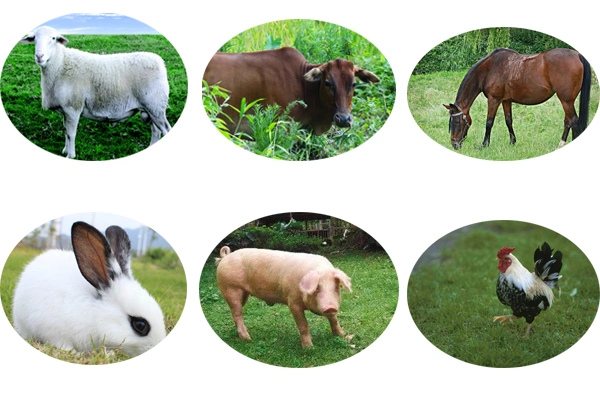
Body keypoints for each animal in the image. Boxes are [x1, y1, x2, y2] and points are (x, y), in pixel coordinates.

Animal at [12, 222, 166, 356]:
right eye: (140, 325)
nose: (157, 343)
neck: (96, 314)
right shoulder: (54, 332)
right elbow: (63, 346)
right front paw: (77, 354)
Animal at [20, 24, 171, 159]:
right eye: (34, 38)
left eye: (53, 38)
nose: (39, 56)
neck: (60, 65)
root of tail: (161, 62)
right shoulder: (65, 110)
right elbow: (65, 131)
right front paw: (65, 150)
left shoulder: (73, 107)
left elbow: (71, 134)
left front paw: (70, 155)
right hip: (152, 109)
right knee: (156, 131)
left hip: (155, 105)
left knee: (164, 130)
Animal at [214, 244, 352, 346]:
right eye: (317, 288)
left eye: (337, 287)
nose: (330, 307)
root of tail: (226, 257)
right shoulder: (293, 302)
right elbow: (303, 325)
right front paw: (309, 347)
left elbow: (334, 319)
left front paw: (344, 336)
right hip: (231, 288)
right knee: (237, 313)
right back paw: (247, 338)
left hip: (243, 293)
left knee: (234, 313)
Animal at [446, 47, 592, 149]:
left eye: (457, 121)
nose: (454, 145)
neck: (489, 69)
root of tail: (578, 55)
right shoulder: (506, 100)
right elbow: (508, 120)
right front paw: (512, 142)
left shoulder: (494, 100)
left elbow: (489, 122)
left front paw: (484, 145)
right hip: (568, 101)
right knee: (568, 121)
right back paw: (561, 144)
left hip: (566, 101)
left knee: (574, 122)